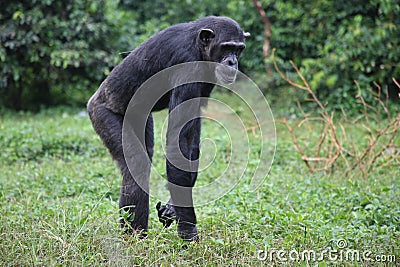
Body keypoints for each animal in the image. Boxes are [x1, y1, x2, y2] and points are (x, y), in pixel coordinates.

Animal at [88, 16, 247, 243]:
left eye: (239, 49)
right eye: (226, 47)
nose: (233, 61)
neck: (199, 48)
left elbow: (189, 142)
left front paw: (172, 209)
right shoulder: (187, 67)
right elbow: (176, 144)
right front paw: (189, 233)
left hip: (141, 118)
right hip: (102, 113)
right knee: (137, 165)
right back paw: (135, 237)